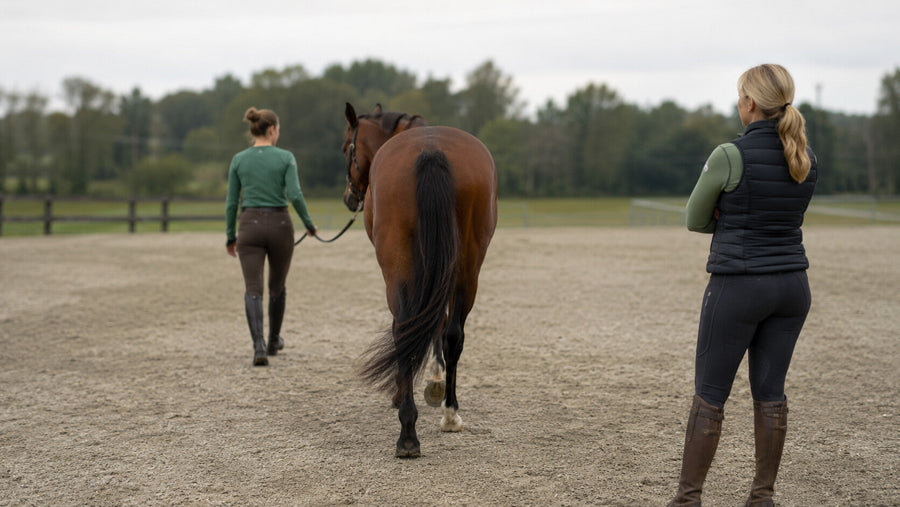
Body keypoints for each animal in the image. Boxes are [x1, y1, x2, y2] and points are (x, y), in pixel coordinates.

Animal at [341, 103, 498, 458]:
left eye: (346, 148)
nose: (349, 197)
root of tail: (430, 149)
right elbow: (438, 325)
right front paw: (436, 381)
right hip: (467, 265)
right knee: (452, 334)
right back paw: (449, 415)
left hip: (398, 266)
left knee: (404, 330)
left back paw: (409, 431)